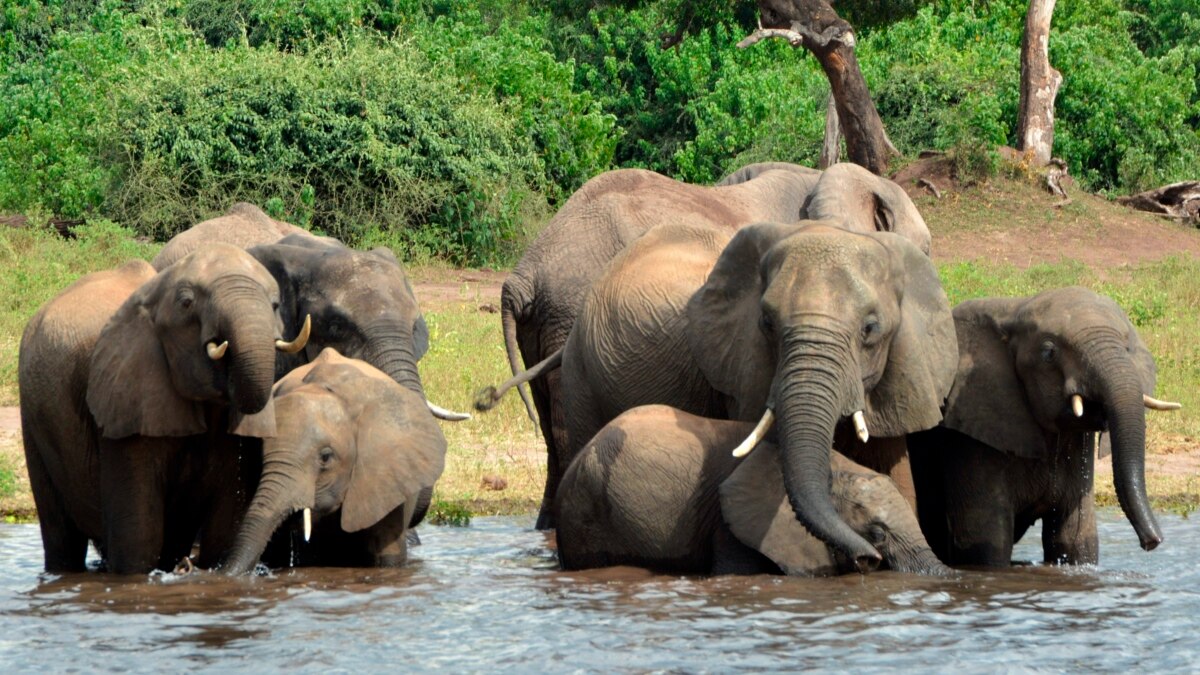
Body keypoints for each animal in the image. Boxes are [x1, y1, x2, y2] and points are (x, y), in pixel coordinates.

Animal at [19, 245, 310, 573]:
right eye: (186, 303)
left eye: (275, 305)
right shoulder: (126, 397)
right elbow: (138, 536)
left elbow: (225, 527)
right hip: (34, 418)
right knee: (61, 536)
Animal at [908, 287, 1181, 566]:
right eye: (1049, 353)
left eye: (1127, 348)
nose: (1151, 542)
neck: (1014, 310)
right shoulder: (969, 434)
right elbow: (986, 545)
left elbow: (1075, 540)